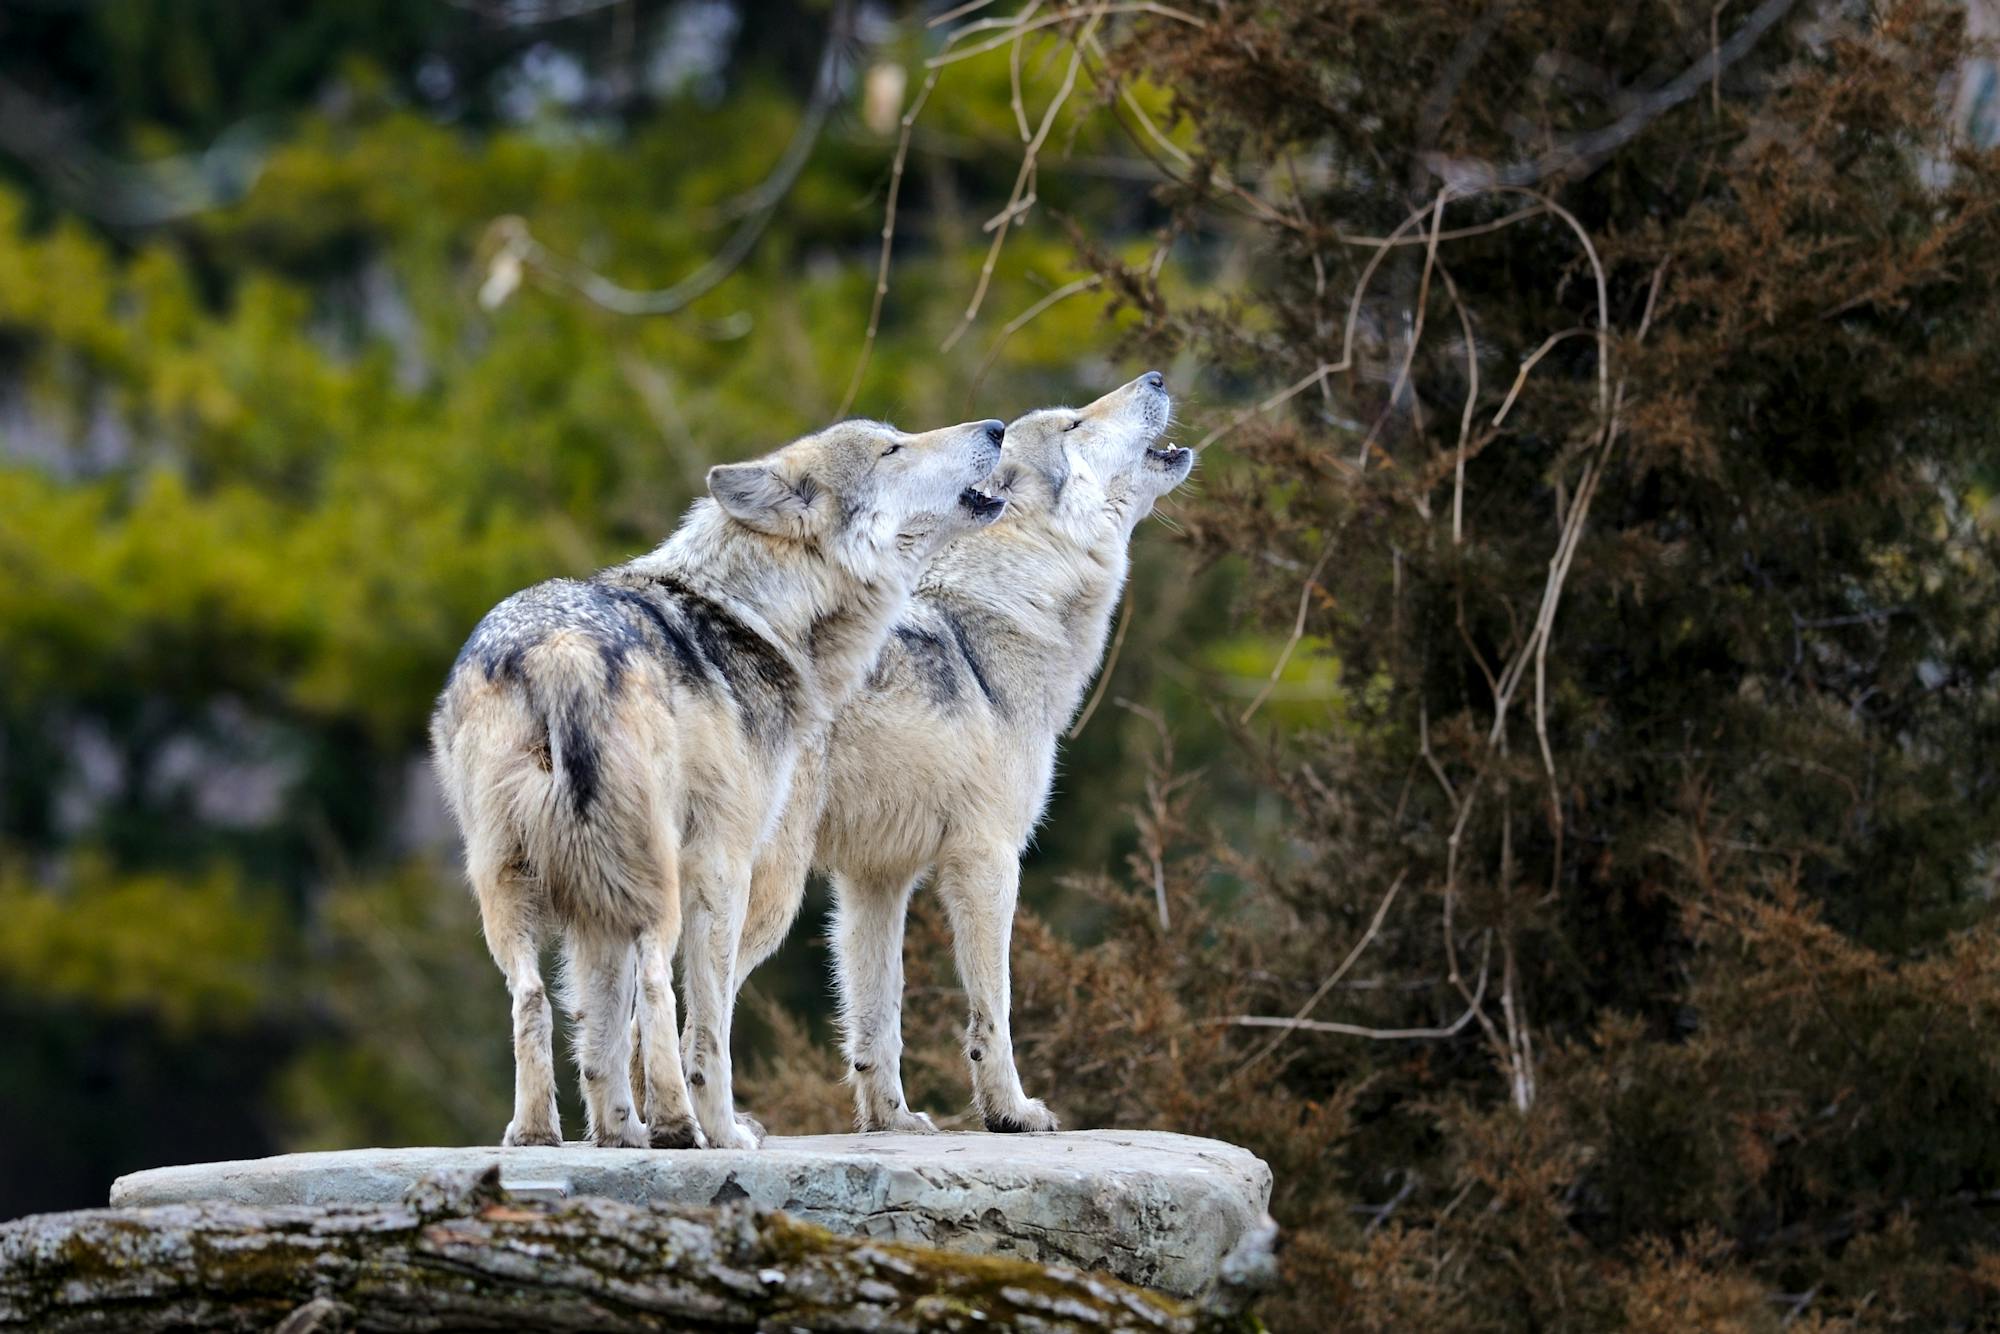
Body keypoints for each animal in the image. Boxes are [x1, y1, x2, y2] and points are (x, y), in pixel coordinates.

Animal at [432, 414, 1008, 1152]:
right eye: (892, 448)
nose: (996, 426)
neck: (755, 615)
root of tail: (561, 650)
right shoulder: (723, 863)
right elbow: (707, 1028)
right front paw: (721, 1129)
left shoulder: (596, 908)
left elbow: (600, 1038)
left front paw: (617, 1133)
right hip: (660, 883)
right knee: (658, 988)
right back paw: (683, 1128)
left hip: (514, 886)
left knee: (533, 999)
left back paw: (539, 1135)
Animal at [744, 376, 1192, 1136]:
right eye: (1074, 424)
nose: (1157, 378)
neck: (1004, 613)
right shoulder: (988, 859)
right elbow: (995, 1009)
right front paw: (1010, 1112)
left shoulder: (875, 882)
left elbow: (877, 1019)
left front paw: (891, 1122)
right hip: (768, 891)